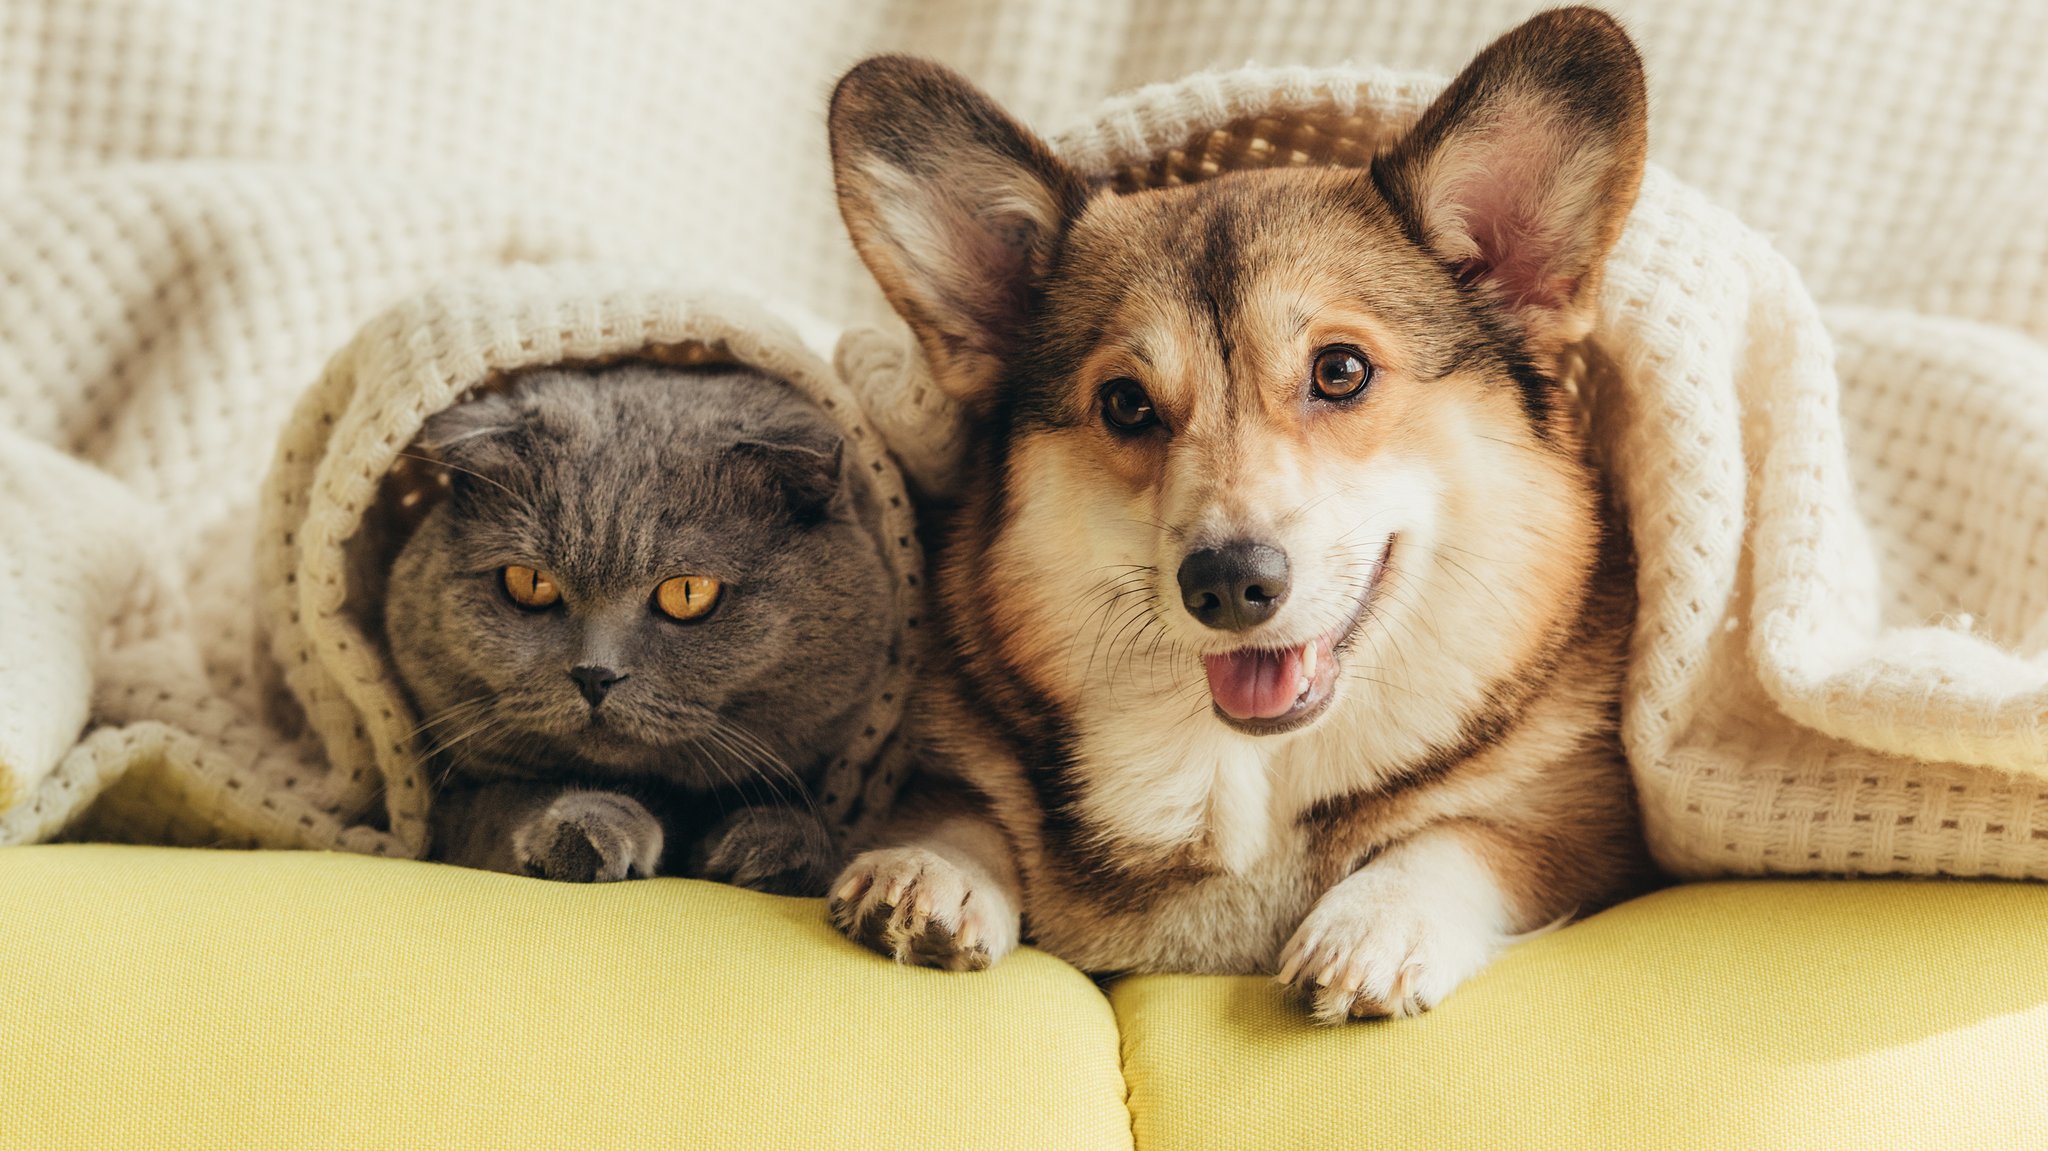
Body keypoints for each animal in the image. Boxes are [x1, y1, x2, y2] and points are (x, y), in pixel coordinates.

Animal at [385, 362, 897, 892]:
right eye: (530, 583)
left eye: (689, 592)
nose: (594, 674)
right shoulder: (449, 809)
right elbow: (499, 804)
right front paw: (587, 829)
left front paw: (777, 844)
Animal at [823, 6, 1654, 1011]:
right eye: (1124, 403)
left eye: (1341, 370)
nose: (1227, 584)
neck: (1241, 774)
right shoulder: (956, 756)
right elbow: (964, 805)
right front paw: (927, 867)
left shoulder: (1588, 823)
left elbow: (1466, 836)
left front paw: (1376, 922)